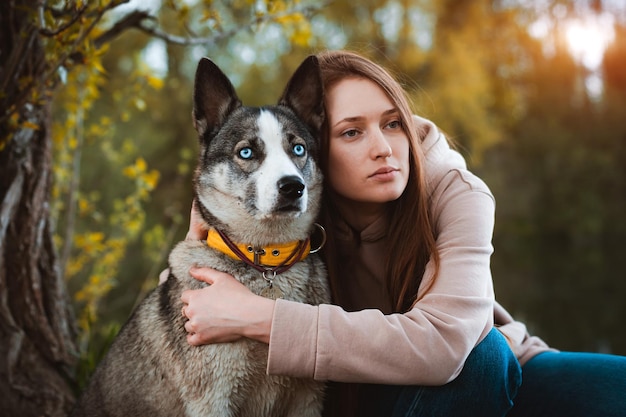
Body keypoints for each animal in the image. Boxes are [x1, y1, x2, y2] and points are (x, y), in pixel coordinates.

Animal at [69, 56, 326, 416]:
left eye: (298, 148)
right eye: (246, 153)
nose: (293, 186)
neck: (267, 265)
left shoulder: (307, 397)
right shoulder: (211, 398)